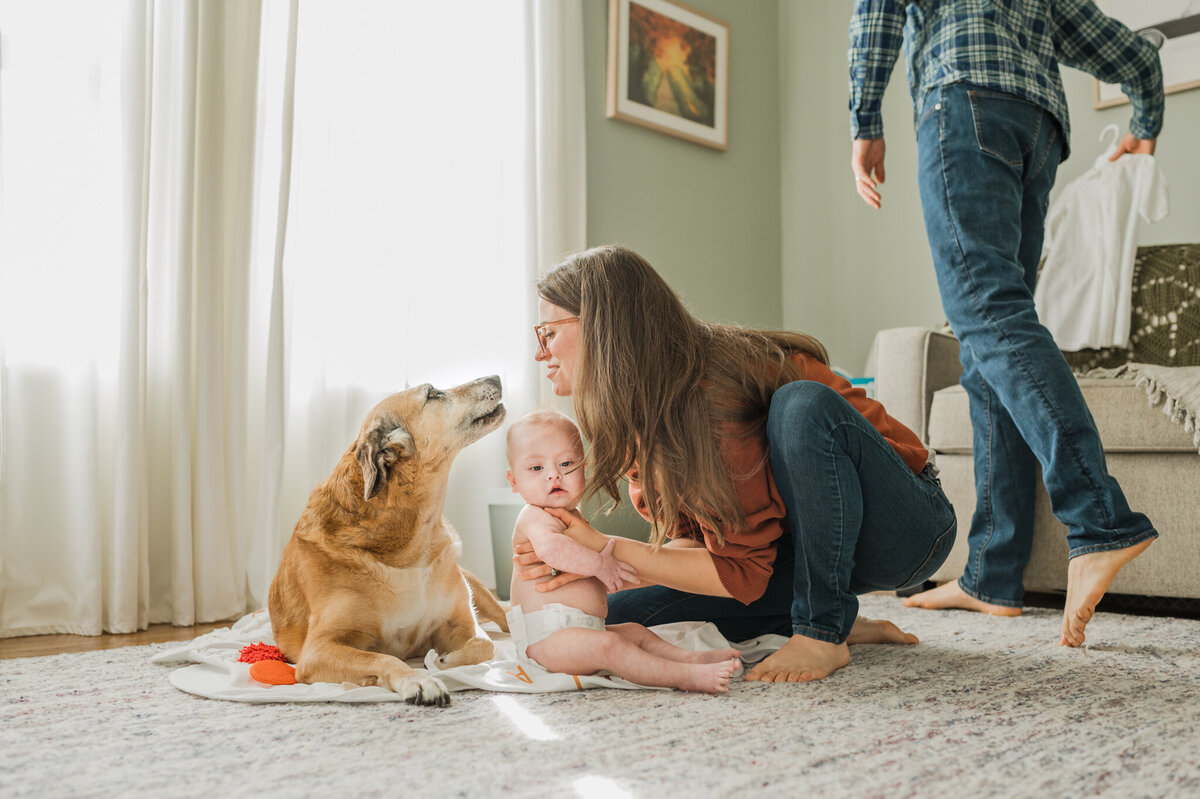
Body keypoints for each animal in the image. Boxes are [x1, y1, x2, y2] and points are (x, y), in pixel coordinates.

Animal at [270, 374, 508, 705]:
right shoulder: (318, 650)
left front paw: (443, 661)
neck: (411, 547)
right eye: (433, 394)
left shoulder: (463, 623)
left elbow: (486, 646)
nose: (496, 377)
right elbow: (383, 658)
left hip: (483, 596)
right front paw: (419, 679)